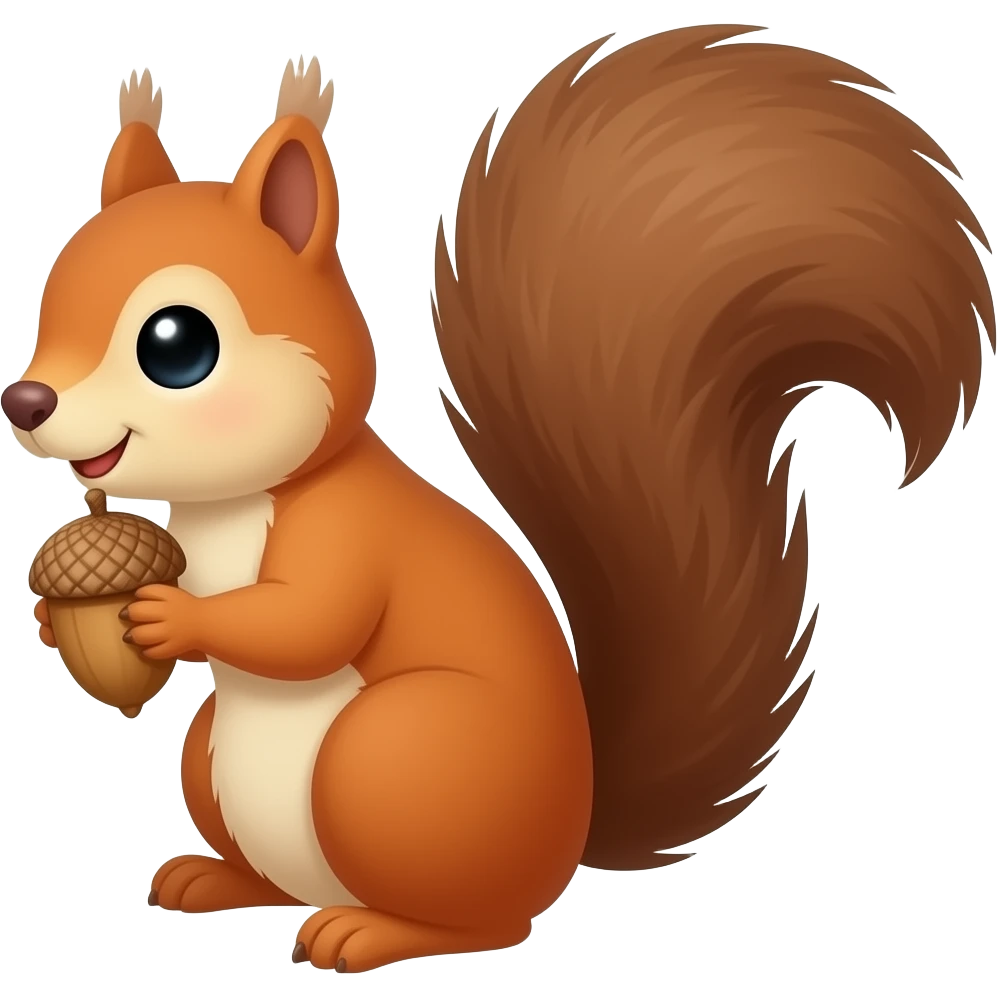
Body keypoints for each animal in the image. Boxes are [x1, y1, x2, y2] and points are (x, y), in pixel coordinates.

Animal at [3, 27, 992, 974]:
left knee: (489, 922)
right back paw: (219, 879)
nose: (26, 402)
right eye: (47, 298)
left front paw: (171, 617)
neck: (240, 500)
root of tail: (568, 835)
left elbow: (308, 621)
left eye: (178, 345)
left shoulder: (348, 533)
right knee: (288, 876)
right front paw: (57, 619)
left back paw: (369, 933)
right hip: (216, 756)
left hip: (391, 755)